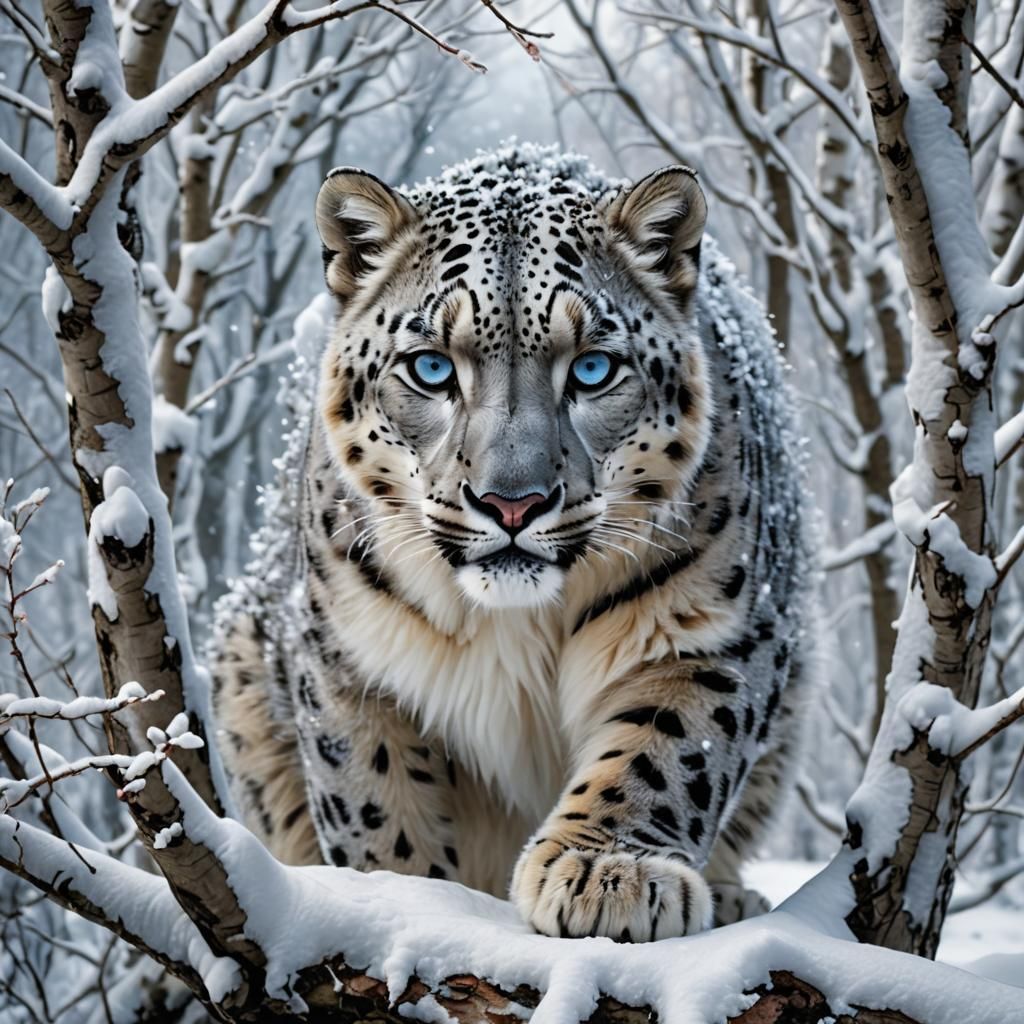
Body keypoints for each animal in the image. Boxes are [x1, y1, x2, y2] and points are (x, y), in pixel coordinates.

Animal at [211, 143, 811, 942]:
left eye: (593, 367)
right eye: (431, 366)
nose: (512, 502)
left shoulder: (710, 630)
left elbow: (667, 750)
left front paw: (608, 874)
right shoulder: (350, 657)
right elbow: (376, 795)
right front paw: (403, 894)